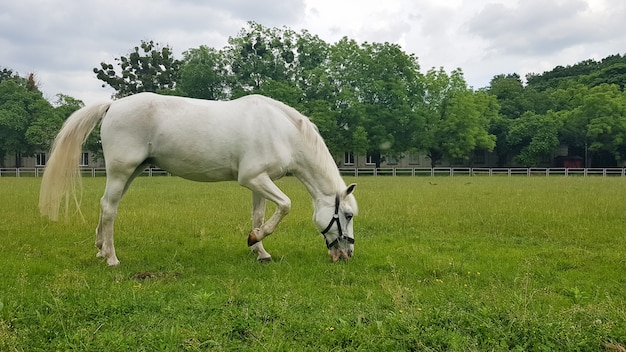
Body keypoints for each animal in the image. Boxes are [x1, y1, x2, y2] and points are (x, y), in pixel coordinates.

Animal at [39, 92, 356, 266]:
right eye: (348, 215)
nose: (347, 253)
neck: (281, 131)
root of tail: (112, 106)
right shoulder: (253, 179)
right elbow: (286, 205)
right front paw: (256, 239)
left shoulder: (259, 183)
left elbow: (259, 215)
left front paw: (259, 249)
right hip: (121, 171)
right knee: (109, 209)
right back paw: (112, 259)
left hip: (131, 172)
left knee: (106, 206)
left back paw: (100, 249)